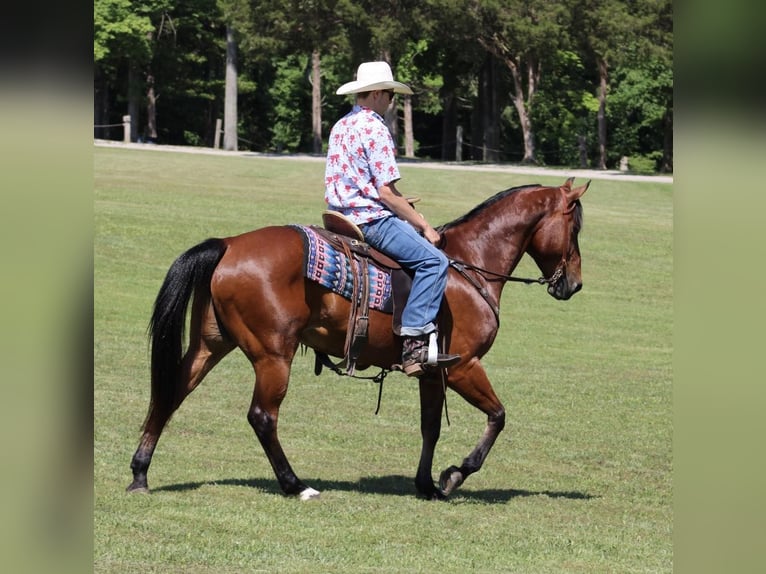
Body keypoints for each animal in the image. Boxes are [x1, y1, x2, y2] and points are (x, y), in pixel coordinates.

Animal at [127, 177, 589, 500]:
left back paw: (139, 473)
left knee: (169, 394)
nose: (574, 285)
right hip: (273, 355)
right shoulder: (463, 367)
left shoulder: (431, 374)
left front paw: (426, 484)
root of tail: (227, 244)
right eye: (575, 228)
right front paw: (454, 475)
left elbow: (430, 427)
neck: (468, 264)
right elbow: (498, 416)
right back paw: (296, 484)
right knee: (262, 417)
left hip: (210, 344)